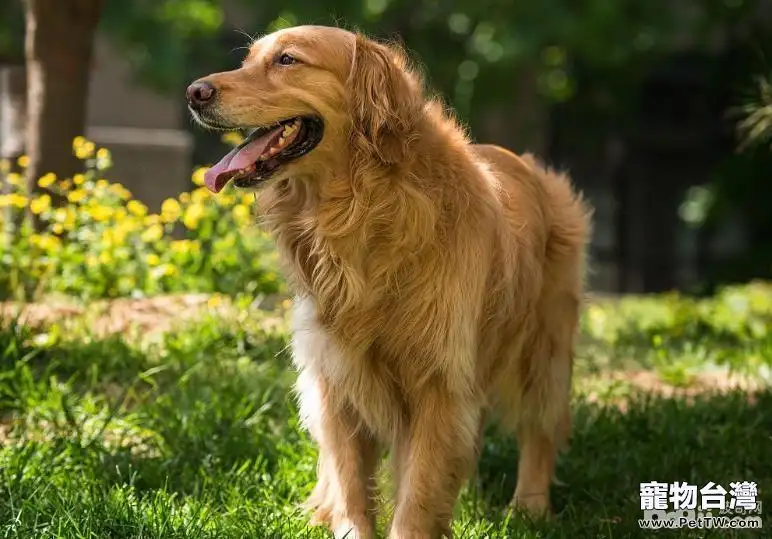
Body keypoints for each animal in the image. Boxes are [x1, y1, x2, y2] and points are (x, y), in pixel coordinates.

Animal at [188, 25, 592, 539]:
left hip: (544, 346)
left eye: (288, 60)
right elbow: (351, 483)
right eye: (248, 60)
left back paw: (530, 509)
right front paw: (343, 522)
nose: (195, 92)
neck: (361, 210)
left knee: (540, 427)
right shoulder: (335, 375)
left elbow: (417, 494)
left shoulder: (440, 382)